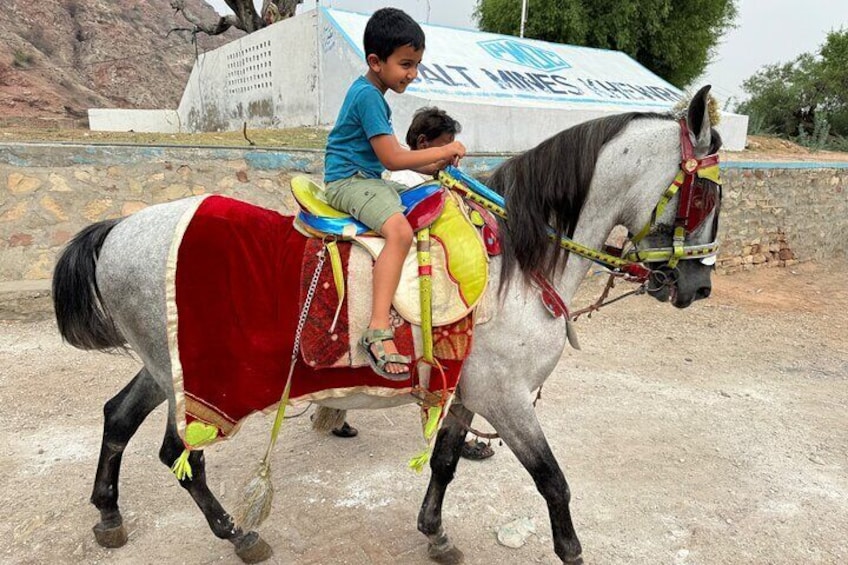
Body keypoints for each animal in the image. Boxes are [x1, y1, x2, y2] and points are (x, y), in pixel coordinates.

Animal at [51, 86, 724, 560]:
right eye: (707, 196)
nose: (698, 287)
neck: (517, 261)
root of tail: (119, 229)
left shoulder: (470, 390)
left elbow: (447, 460)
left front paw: (436, 533)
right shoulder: (506, 397)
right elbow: (552, 481)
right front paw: (570, 550)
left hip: (161, 363)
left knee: (119, 418)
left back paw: (109, 514)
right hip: (191, 379)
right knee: (176, 452)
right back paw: (237, 533)